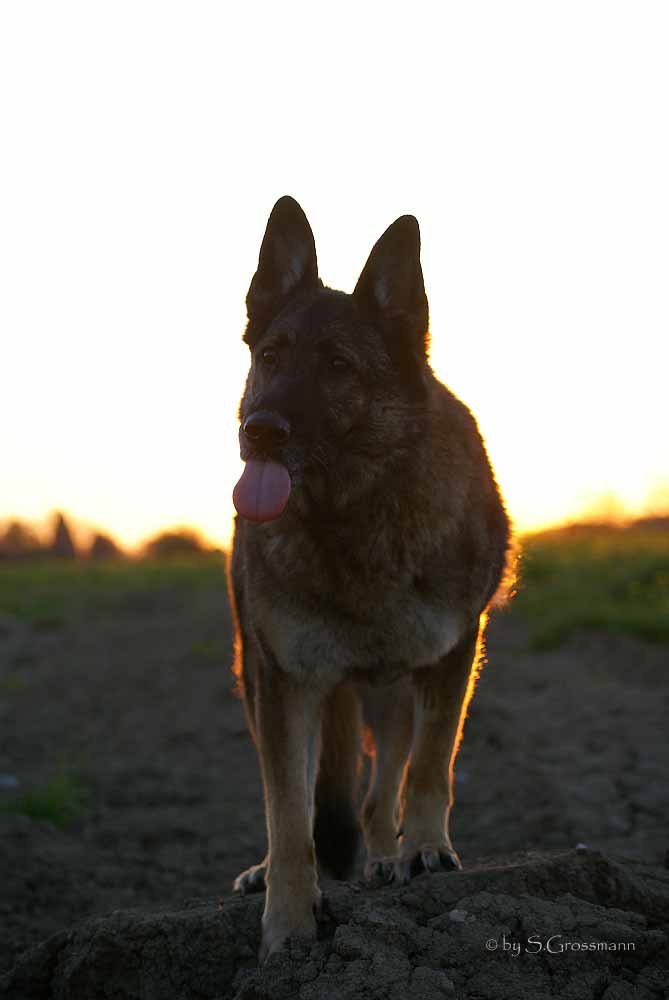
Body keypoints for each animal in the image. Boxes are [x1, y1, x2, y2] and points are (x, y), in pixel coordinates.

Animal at [227, 197, 508, 960]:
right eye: (270, 357)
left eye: (337, 366)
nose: (260, 430)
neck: (351, 517)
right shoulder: (284, 679)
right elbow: (287, 813)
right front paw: (290, 919)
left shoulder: (450, 655)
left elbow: (430, 767)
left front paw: (425, 851)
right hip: (264, 678)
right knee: (298, 792)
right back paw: (273, 869)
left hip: (392, 692)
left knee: (383, 790)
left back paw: (387, 856)